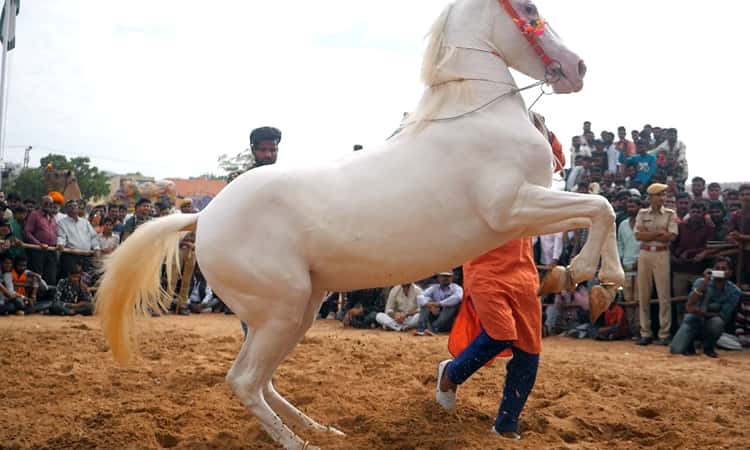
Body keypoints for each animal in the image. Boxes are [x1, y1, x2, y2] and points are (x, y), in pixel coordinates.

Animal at [97, 1, 624, 448]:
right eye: (530, 10)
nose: (576, 69)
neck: (479, 118)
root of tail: (204, 216)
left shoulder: (524, 210)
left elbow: (597, 208)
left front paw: (584, 277)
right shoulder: (512, 207)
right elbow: (601, 205)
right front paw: (590, 276)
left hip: (299, 309)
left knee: (261, 380)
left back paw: (320, 428)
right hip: (281, 310)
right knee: (244, 381)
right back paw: (299, 442)